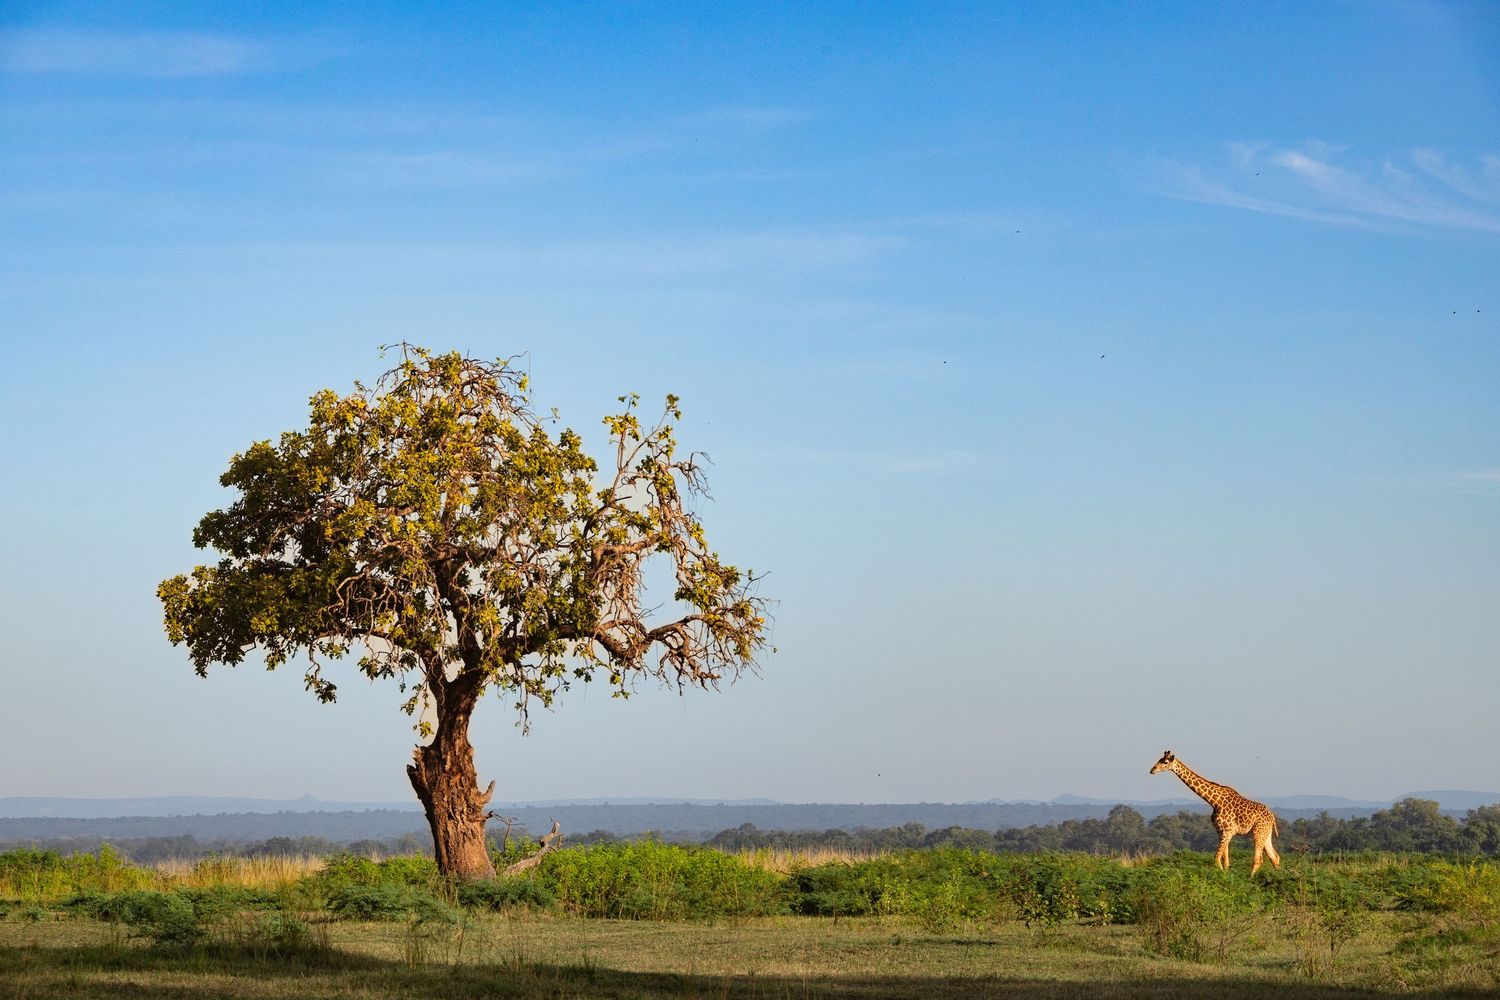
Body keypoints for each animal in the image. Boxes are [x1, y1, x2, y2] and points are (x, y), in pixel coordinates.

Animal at [1149, 749, 1281, 874]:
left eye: (1165, 762)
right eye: (1159, 759)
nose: (1152, 770)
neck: (1214, 801)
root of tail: (1272, 817)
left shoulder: (1228, 831)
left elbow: (1217, 859)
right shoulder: (1220, 831)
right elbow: (1225, 861)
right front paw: (1226, 875)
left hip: (1258, 832)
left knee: (1259, 859)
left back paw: (1251, 879)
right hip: (1265, 833)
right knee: (1274, 857)